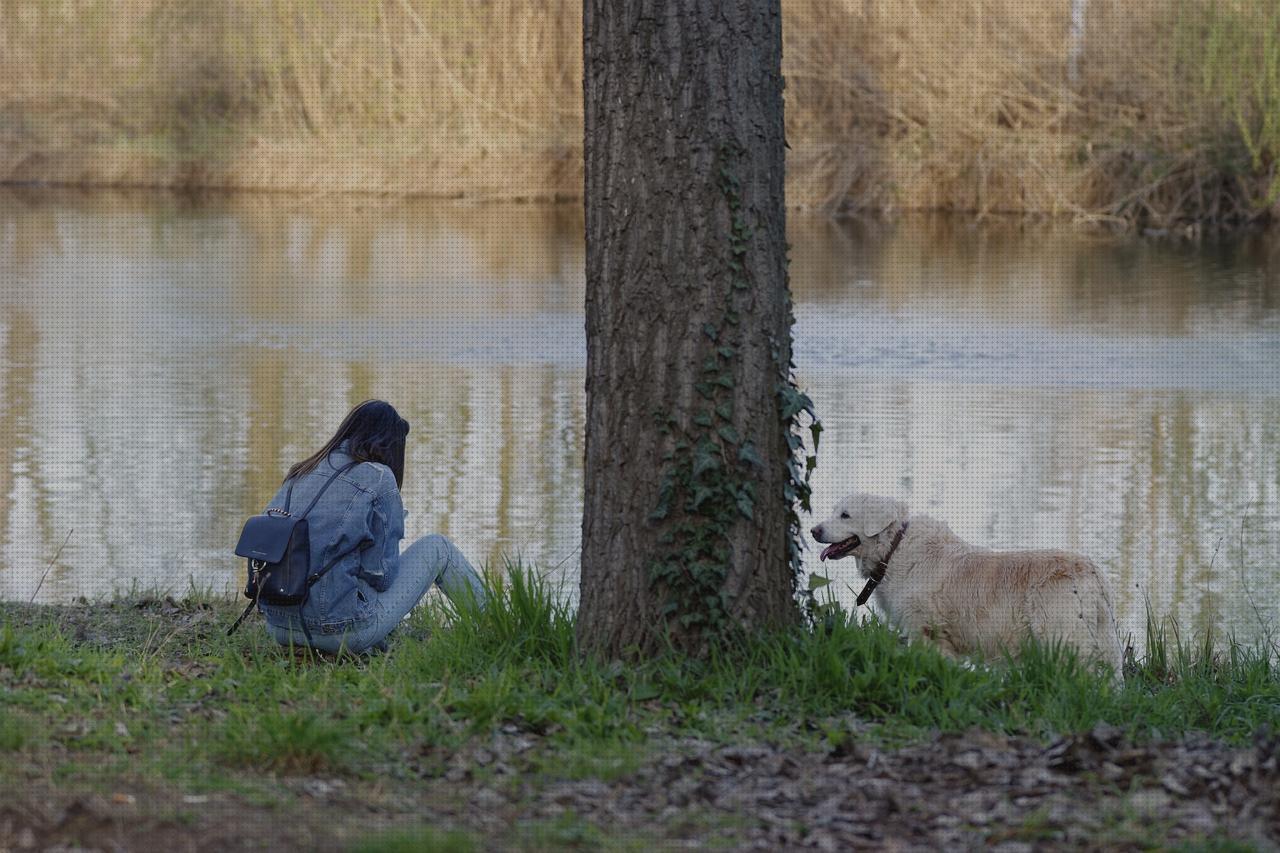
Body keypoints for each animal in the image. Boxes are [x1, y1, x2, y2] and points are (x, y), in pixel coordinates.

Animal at [808, 491, 1121, 671]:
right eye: (834, 511)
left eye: (845, 515)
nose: (813, 530)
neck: (894, 548)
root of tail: (1093, 572)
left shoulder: (924, 629)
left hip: (1064, 636)